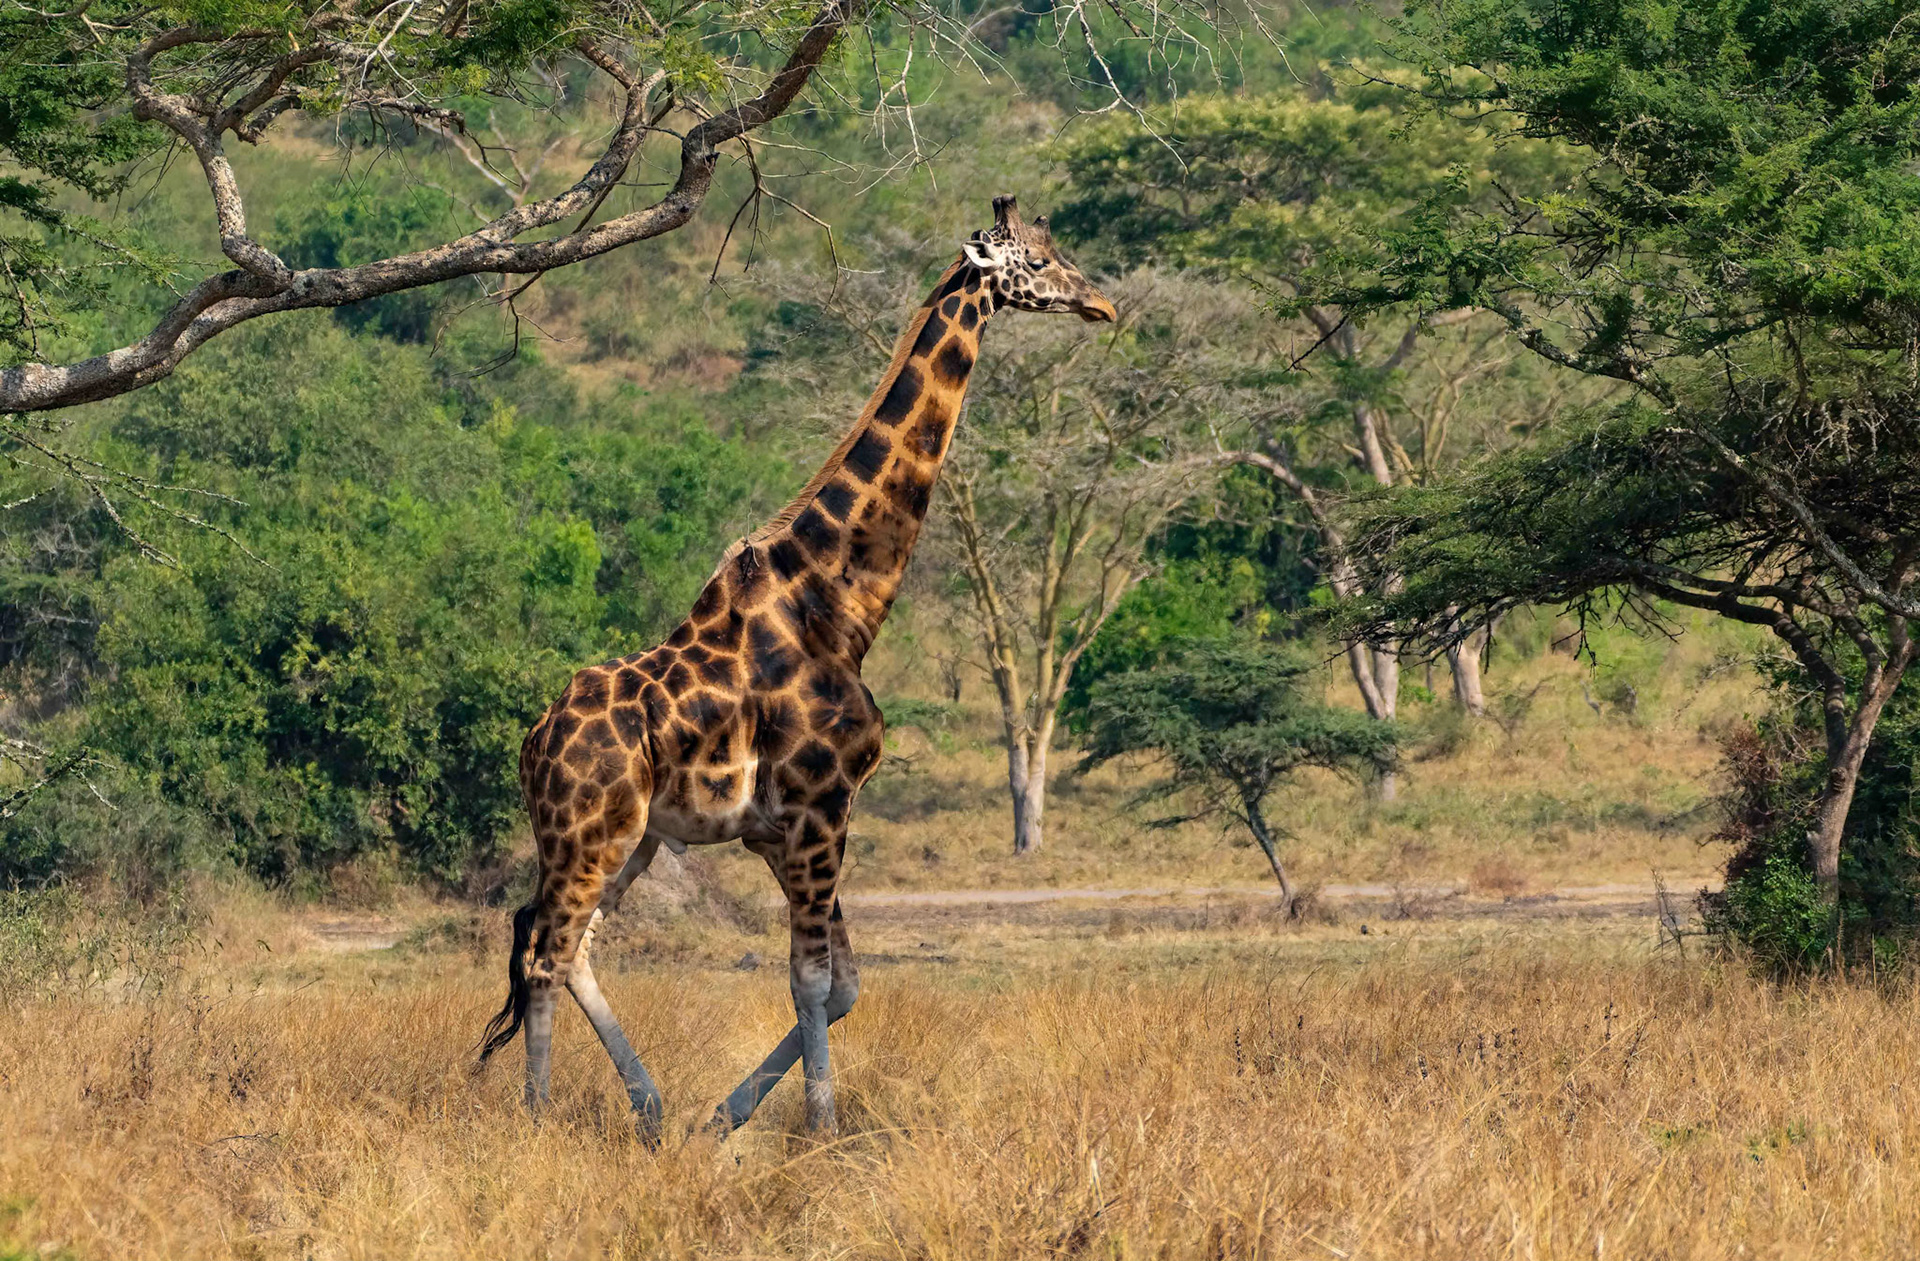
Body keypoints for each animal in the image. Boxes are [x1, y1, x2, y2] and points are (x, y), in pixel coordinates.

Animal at [478, 194, 1117, 1136]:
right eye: (1035, 261)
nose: (1101, 302)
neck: (837, 602)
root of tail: (532, 744)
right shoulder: (821, 808)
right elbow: (813, 981)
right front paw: (820, 1127)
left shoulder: (784, 828)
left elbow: (843, 982)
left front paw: (728, 1115)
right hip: (590, 832)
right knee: (545, 954)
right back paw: (537, 1115)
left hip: (627, 838)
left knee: (575, 947)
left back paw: (652, 1106)